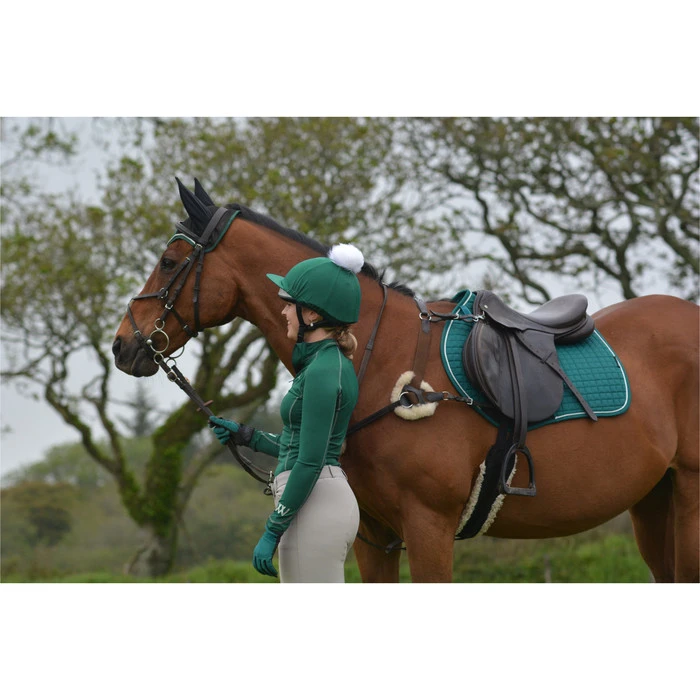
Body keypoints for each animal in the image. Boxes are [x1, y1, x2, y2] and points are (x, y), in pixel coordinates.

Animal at [112, 180, 699, 583]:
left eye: (170, 262)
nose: (124, 344)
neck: (383, 364)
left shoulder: (428, 529)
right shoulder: (374, 536)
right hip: (653, 500)